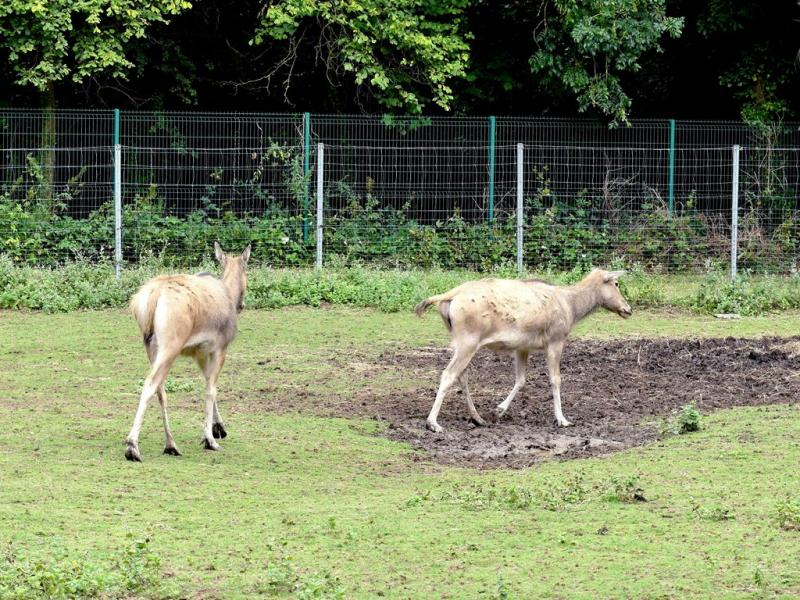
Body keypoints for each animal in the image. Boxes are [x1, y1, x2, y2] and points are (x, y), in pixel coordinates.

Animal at [124, 242, 250, 461]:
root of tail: (152, 296)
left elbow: (208, 383)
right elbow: (211, 389)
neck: (229, 292)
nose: (242, 304)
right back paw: (132, 446)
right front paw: (210, 439)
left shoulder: (200, 354)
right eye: (248, 272)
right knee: (150, 384)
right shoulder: (220, 348)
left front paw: (219, 427)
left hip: (151, 347)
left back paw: (171, 444)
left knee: (161, 390)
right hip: (170, 346)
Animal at [415, 269, 632, 433]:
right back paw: (433, 423)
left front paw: (498, 410)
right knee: (449, 374)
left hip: (460, 341)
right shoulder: (556, 339)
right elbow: (555, 379)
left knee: (462, 375)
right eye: (616, 283)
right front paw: (562, 419)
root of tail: (448, 297)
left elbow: (521, 380)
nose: (628, 309)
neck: (571, 308)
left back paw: (478, 418)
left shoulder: (522, 346)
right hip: (468, 340)